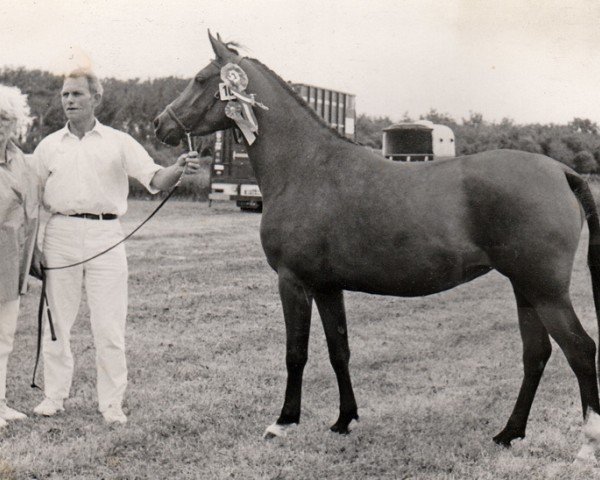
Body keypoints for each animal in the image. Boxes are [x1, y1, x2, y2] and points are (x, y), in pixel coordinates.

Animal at [155, 31, 600, 462]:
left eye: (200, 79)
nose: (161, 124)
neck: (304, 166)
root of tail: (561, 171)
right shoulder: (327, 287)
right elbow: (339, 349)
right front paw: (344, 420)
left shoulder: (292, 281)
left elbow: (295, 352)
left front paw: (283, 422)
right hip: (524, 288)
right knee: (536, 353)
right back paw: (509, 433)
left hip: (546, 291)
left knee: (580, 349)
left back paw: (586, 445)